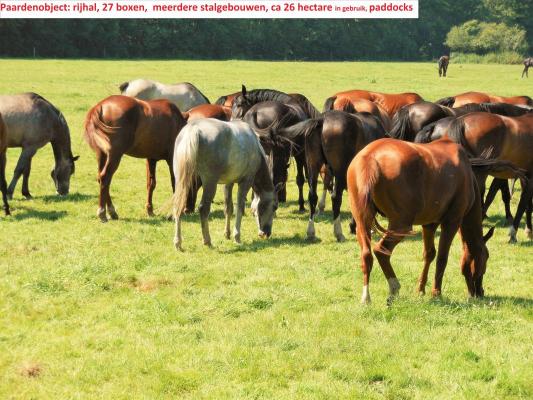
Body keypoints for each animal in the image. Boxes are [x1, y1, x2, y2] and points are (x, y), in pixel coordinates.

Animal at [84, 95, 188, 223]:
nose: (187, 210)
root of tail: (100, 106)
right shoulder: (172, 159)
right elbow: (176, 184)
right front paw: (176, 212)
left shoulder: (151, 159)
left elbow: (151, 184)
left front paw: (150, 210)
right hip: (114, 155)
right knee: (105, 178)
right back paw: (102, 212)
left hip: (102, 155)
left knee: (101, 178)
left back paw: (112, 211)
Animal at [172, 118, 276, 250]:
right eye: (275, 207)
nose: (266, 233)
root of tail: (193, 129)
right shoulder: (245, 182)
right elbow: (239, 207)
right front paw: (237, 237)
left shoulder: (228, 183)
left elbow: (228, 208)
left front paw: (227, 234)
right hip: (210, 182)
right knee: (203, 208)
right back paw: (207, 241)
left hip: (182, 182)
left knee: (178, 206)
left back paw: (178, 242)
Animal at [344, 138, 524, 304]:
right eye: (485, 257)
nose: (480, 292)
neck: (468, 175)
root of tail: (370, 158)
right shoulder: (452, 222)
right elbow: (442, 258)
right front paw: (436, 292)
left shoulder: (429, 225)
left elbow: (429, 254)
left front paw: (421, 289)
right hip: (401, 225)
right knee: (381, 251)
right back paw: (394, 288)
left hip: (363, 223)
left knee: (366, 255)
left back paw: (366, 297)